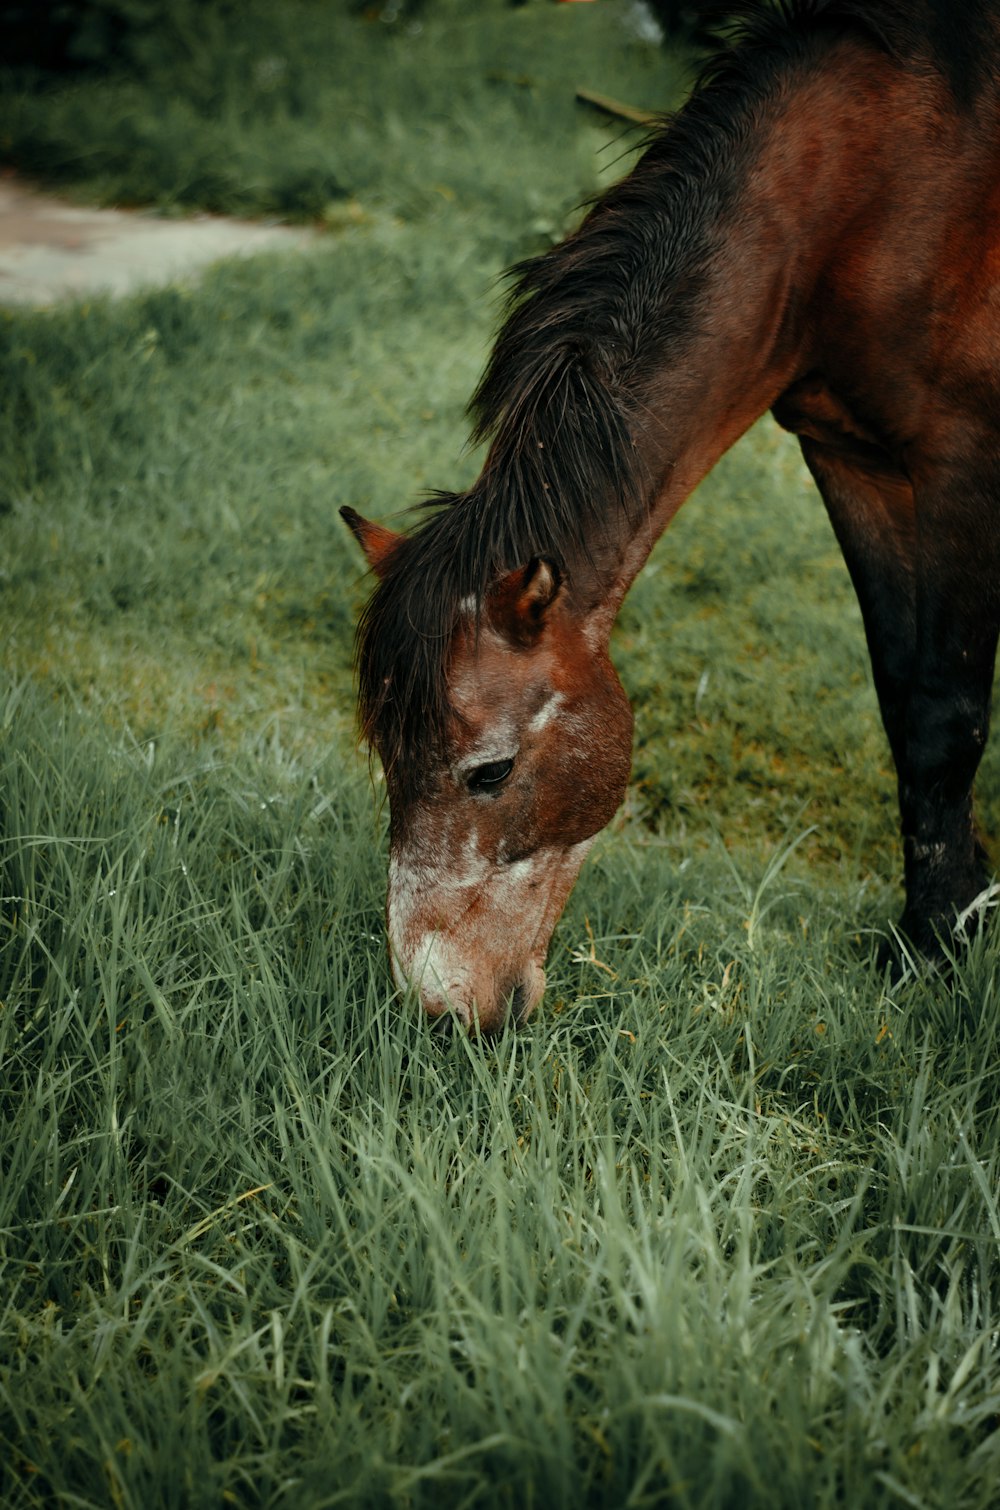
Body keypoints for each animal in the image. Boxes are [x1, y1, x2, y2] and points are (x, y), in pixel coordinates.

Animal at [344, 0, 1000, 1032]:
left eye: (490, 772)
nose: (442, 1009)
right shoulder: (852, 458)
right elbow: (906, 699)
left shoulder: (959, 458)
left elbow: (944, 713)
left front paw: (937, 945)